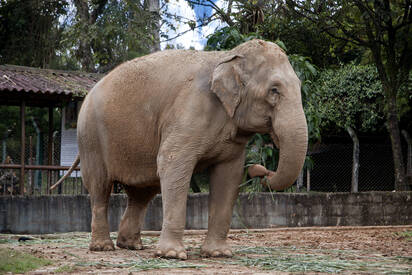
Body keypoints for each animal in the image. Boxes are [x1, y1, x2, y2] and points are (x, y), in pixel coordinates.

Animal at [55, 39, 306, 260]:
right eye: (274, 90)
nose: (259, 170)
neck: (226, 57)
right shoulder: (189, 111)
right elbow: (172, 163)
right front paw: (172, 255)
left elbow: (228, 176)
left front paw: (218, 254)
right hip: (90, 138)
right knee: (100, 187)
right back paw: (103, 248)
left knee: (141, 193)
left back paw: (131, 246)